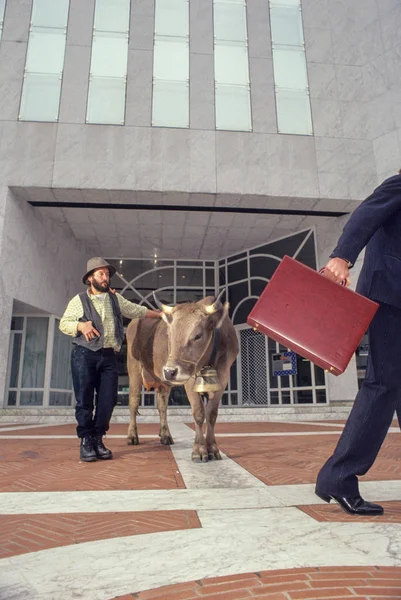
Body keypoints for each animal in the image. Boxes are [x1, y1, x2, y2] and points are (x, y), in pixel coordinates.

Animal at [126, 292, 238, 462]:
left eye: (198, 335)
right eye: (169, 334)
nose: (169, 371)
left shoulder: (223, 377)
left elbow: (211, 414)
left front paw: (212, 448)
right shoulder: (190, 379)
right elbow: (199, 413)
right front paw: (199, 450)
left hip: (163, 383)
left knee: (162, 405)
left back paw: (165, 435)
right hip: (134, 370)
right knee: (133, 402)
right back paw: (132, 436)